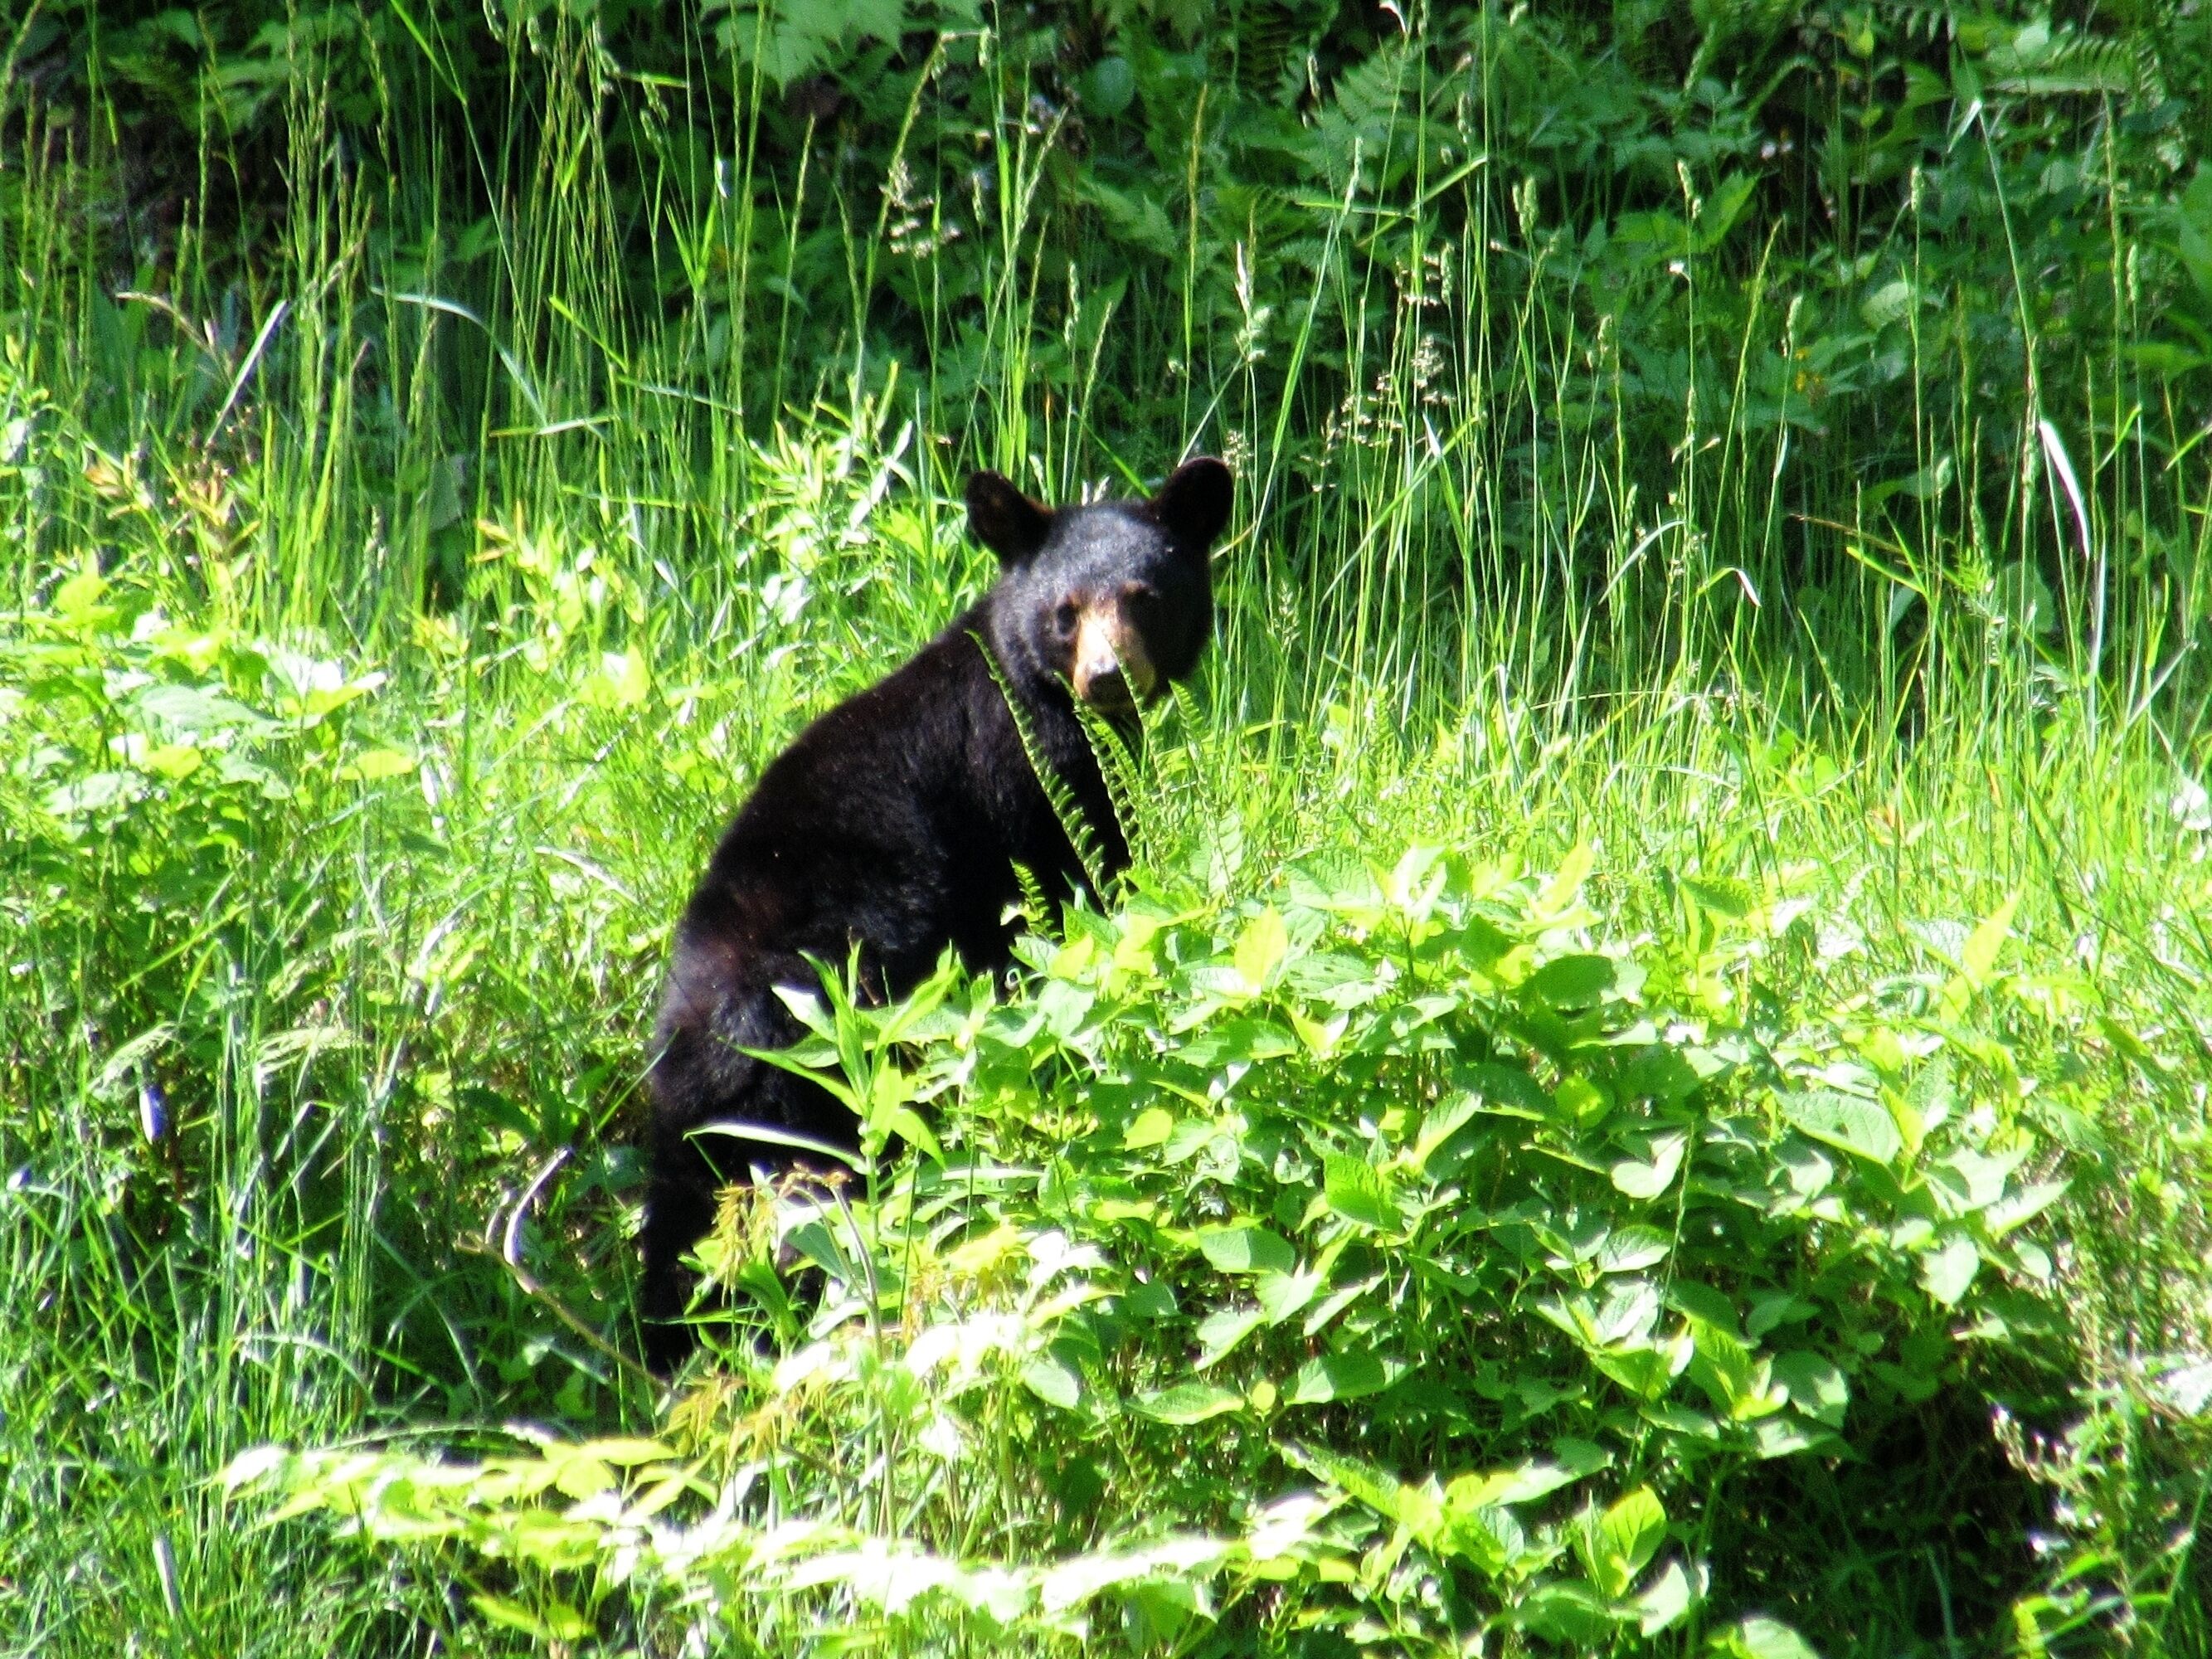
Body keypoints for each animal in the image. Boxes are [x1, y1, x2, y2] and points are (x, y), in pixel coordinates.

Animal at [641, 457, 1234, 1371]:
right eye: (1065, 611)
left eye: (1146, 596)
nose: (1106, 678)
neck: (1033, 687)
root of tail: (730, 1021)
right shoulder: (1035, 787)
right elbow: (1079, 896)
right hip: (856, 1026)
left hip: (688, 1117)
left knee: (680, 1227)